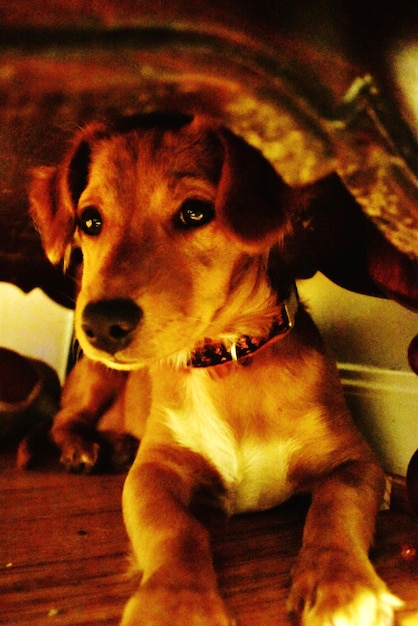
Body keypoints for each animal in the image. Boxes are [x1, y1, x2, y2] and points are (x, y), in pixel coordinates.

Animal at [29, 113, 402, 624]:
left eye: (195, 212)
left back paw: (116, 445)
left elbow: (335, 510)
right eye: (89, 221)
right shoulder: (153, 473)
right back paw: (82, 450)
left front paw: (344, 588)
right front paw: (175, 602)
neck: (227, 361)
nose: (100, 324)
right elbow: (175, 528)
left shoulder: (356, 461)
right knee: (64, 420)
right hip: (96, 376)